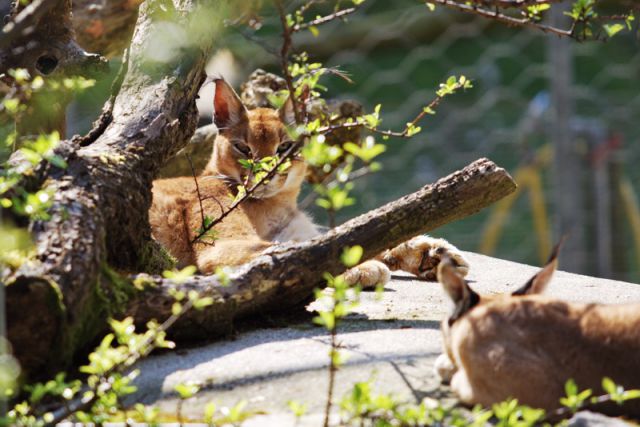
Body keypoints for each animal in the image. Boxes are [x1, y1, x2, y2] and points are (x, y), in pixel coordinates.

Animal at [151, 79, 470, 290]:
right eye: (243, 148)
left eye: (284, 148)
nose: (265, 176)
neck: (280, 203)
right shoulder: (222, 246)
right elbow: (291, 256)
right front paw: (361, 268)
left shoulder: (297, 230)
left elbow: (348, 236)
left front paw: (430, 253)